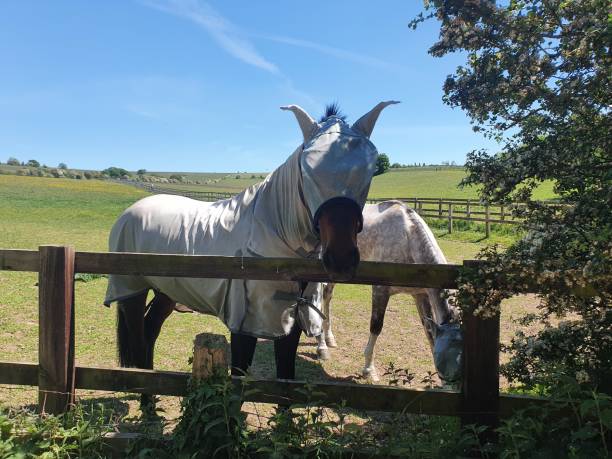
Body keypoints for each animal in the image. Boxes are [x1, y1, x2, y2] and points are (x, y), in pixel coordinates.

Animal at [103, 100, 400, 410]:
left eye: (368, 170)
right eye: (307, 170)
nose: (341, 259)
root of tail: (131, 212)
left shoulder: (291, 319)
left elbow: (286, 378)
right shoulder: (243, 323)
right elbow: (238, 377)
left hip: (167, 291)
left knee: (150, 332)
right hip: (132, 290)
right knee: (138, 337)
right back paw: (147, 402)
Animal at [316, 201, 464, 384]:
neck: (407, 238)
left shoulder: (420, 295)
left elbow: (429, 332)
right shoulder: (380, 290)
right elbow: (376, 327)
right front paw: (369, 370)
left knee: (327, 295)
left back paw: (329, 338)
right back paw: (321, 345)